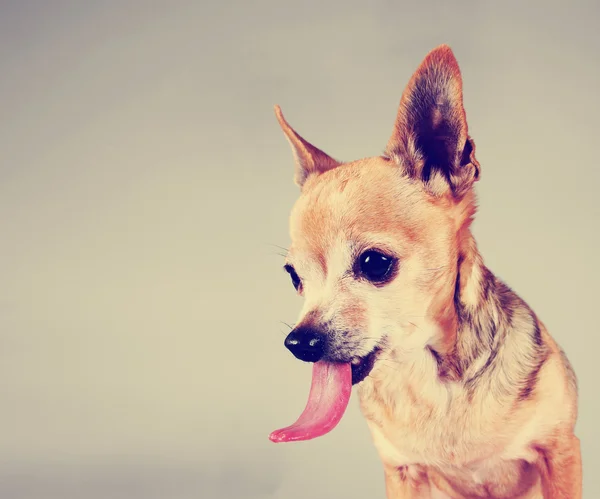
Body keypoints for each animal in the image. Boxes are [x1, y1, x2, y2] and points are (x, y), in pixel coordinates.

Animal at [268, 45, 580, 498]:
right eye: (294, 277)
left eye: (375, 264)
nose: (298, 342)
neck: (430, 378)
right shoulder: (403, 472)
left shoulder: (561, 452)